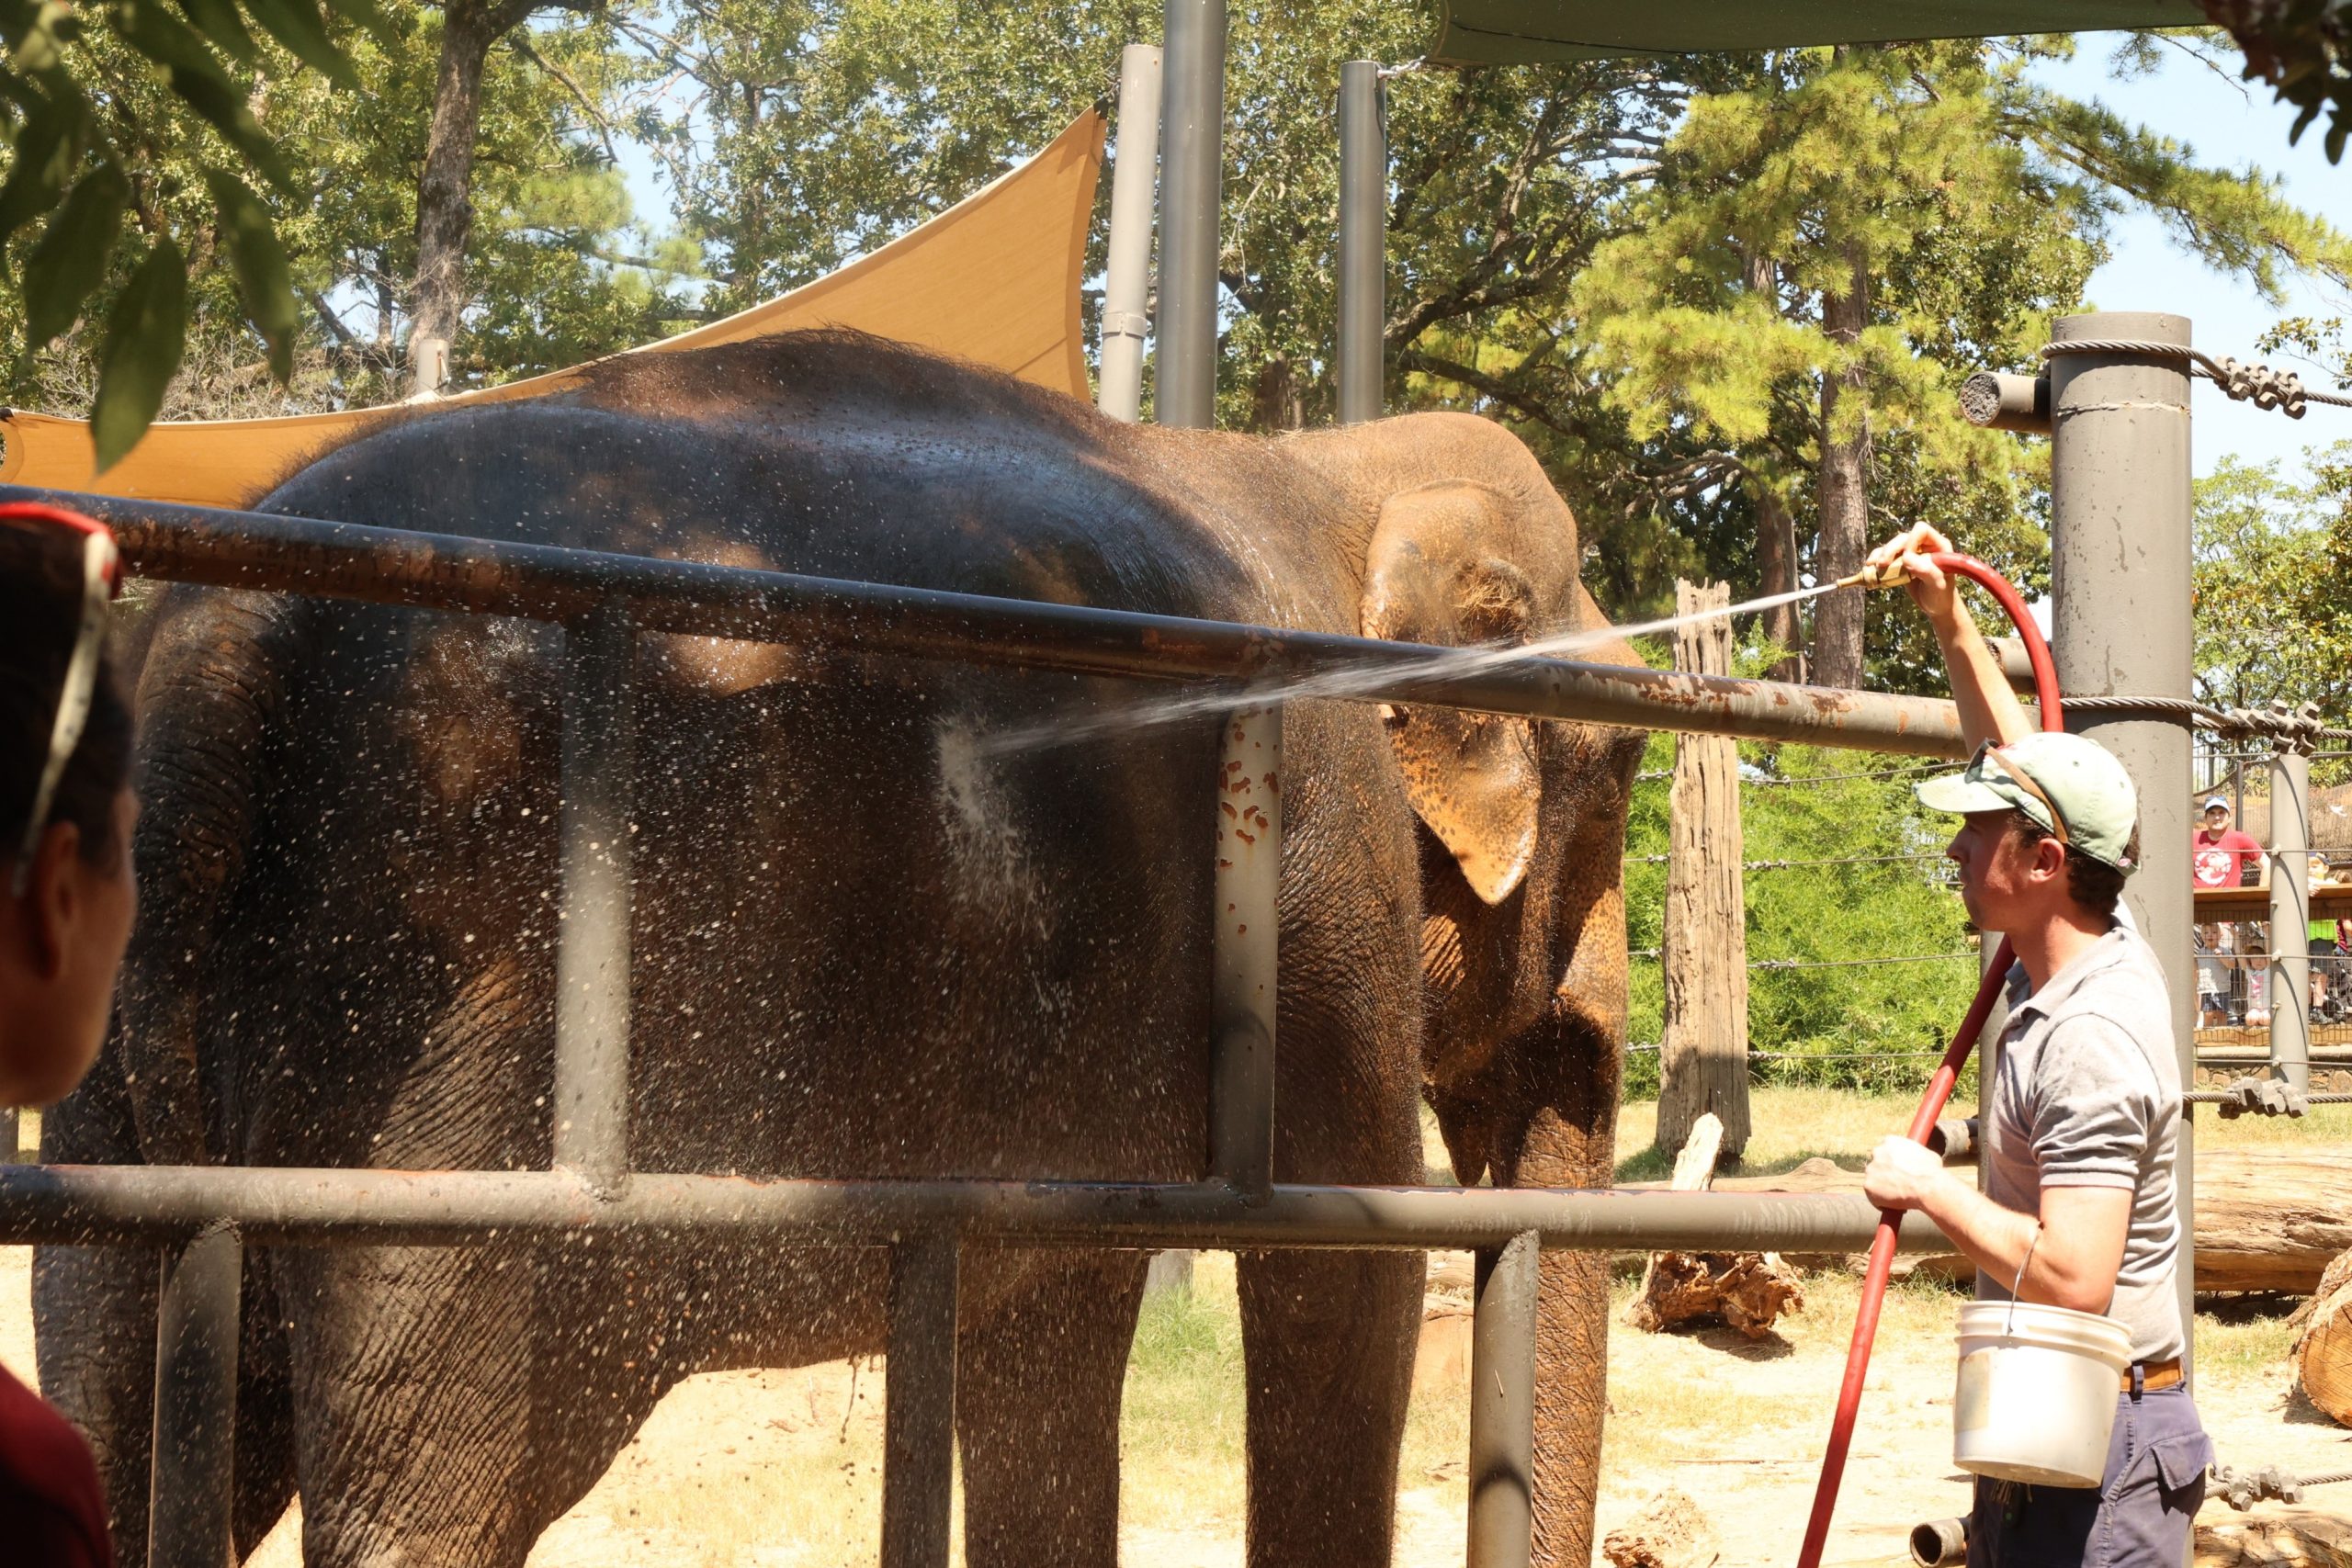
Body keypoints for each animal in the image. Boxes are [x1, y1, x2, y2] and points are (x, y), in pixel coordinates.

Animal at [35, 329, 1644, 1568]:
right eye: (1629, 770)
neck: (1334, 469)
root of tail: (217, 654)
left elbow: (1050, 1335)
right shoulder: (1322, 886)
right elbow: (1339, 1270)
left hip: (142, 1052)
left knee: (115, 1398)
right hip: (451, 1005)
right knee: (430, 1482)